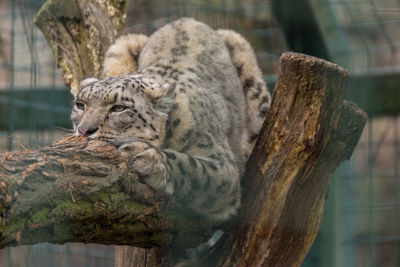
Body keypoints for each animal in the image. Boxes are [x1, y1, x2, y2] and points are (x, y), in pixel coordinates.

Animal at [72, 17, 272, 222]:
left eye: (119, 107)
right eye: (80, 104)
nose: (84, 130)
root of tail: (187, 20)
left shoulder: (222, 163)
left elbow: (193, 168)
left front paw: (146, 158)